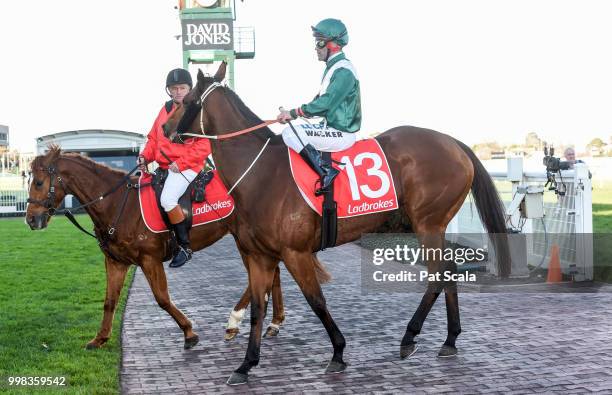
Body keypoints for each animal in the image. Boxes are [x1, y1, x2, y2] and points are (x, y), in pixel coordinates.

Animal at [23, 148, 298, 350]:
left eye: (39, 182)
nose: (31, 219)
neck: (118, 204)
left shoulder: (149, 259)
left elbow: (162, 298)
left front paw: (189, 332)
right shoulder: (115, 261)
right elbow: (110, 301)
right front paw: (100, 338)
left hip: (244, 239)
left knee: (262, 277)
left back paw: (236, 321)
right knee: (271, 275)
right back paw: (273, 322)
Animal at [164, 62, 512, 386]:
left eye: (187, 100)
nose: (166, 128)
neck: (261, 173)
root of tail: (455, 144)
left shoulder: (295, 253)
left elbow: (316, 300)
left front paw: (338, 352)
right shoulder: (260, 255)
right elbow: (257, 309)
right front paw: (245, 365)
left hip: (427, 223)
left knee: (438, 275)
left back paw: (409, 337)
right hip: (430, 226)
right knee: (448, 271)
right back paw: (450, 340)